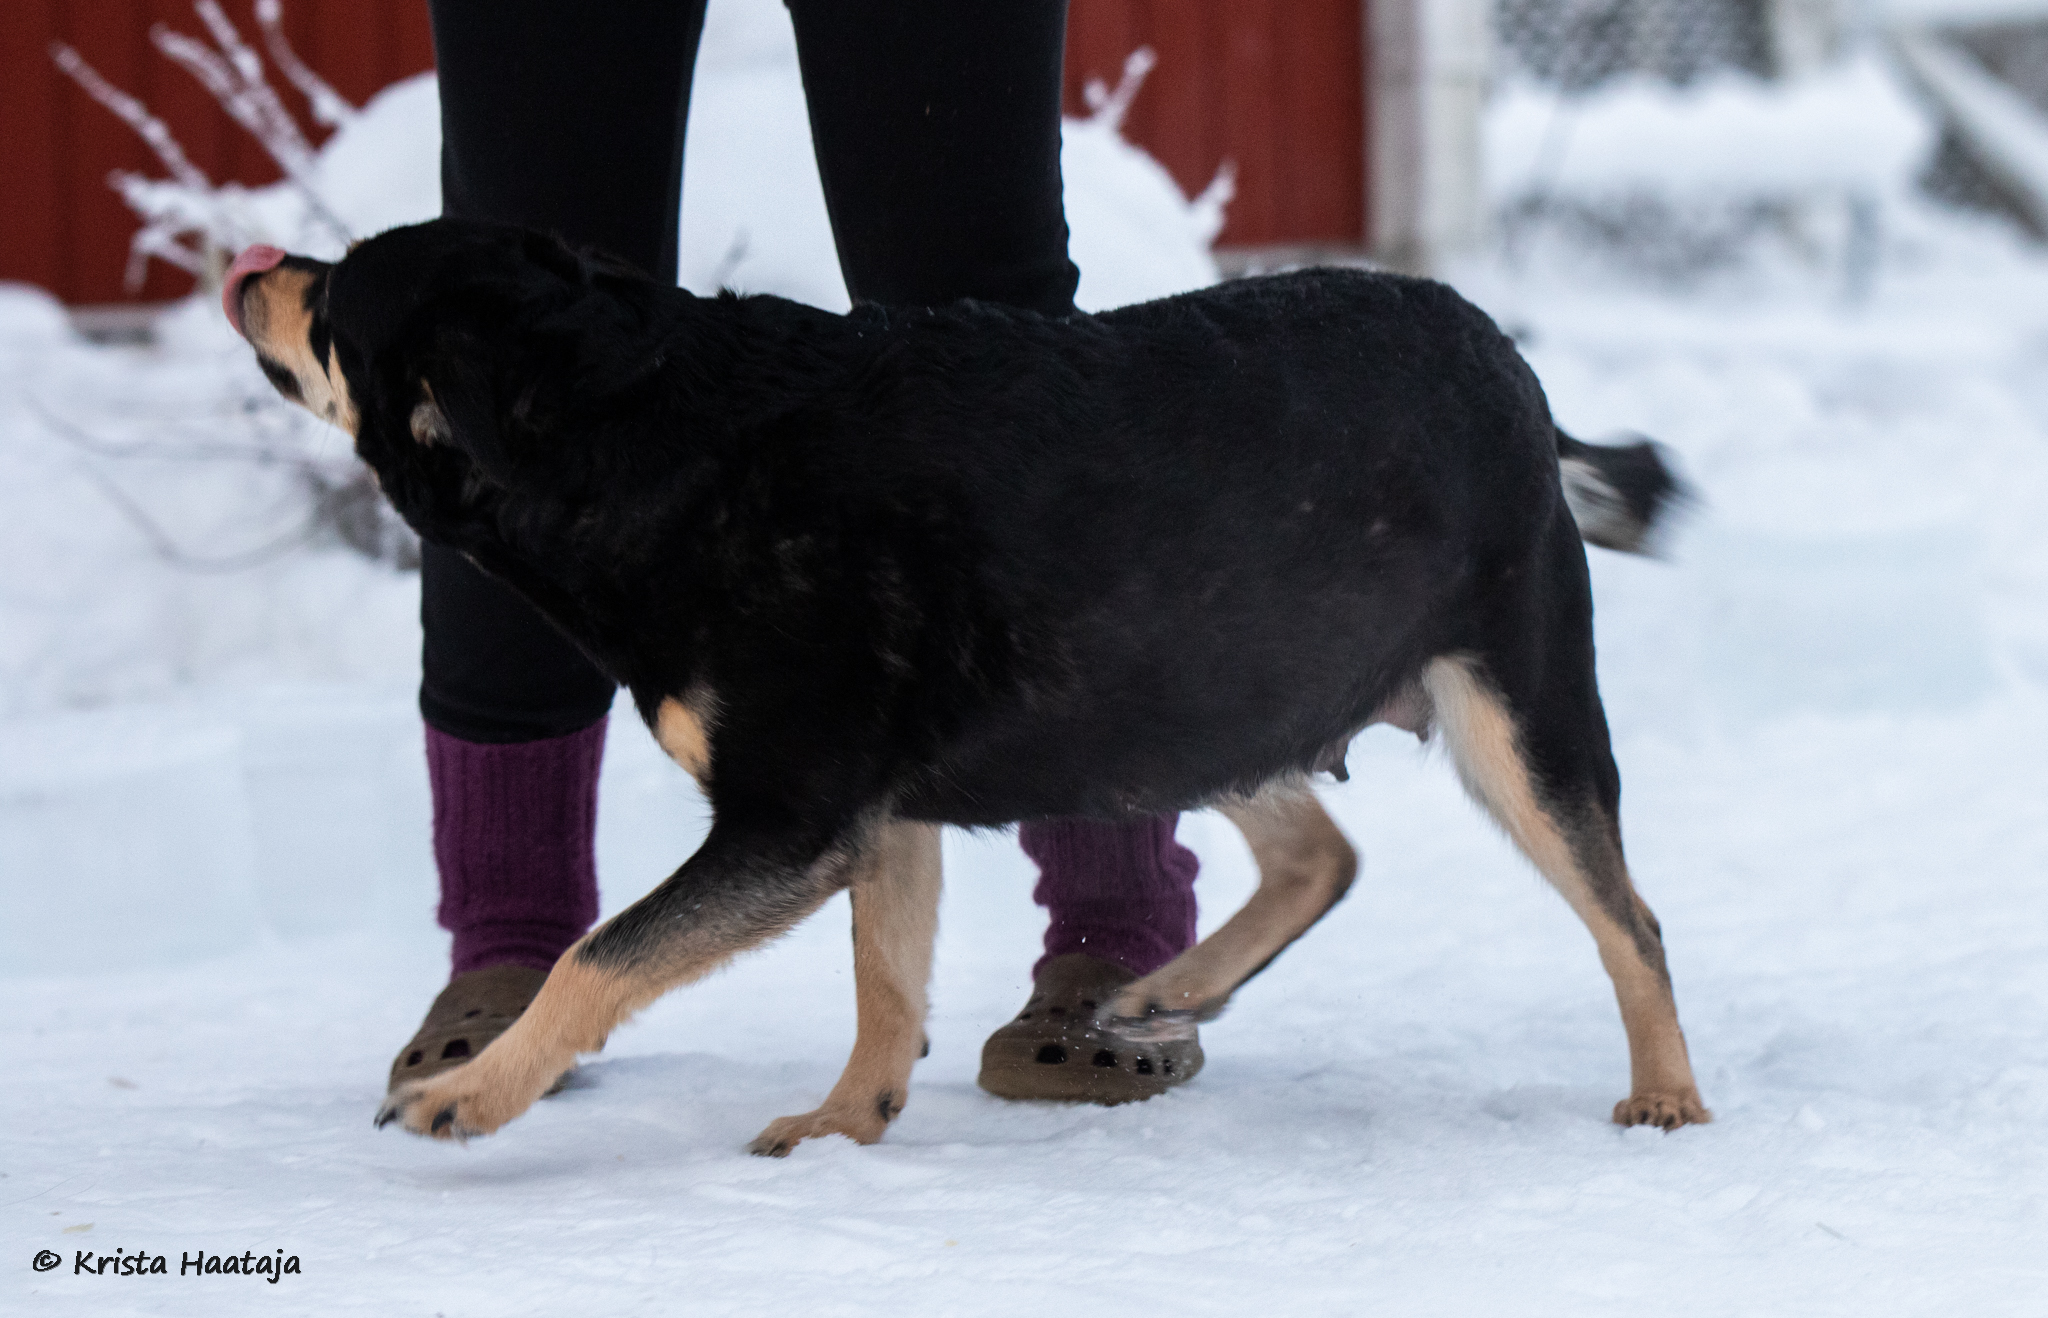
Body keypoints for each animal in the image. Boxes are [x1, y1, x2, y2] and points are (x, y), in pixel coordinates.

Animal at [224, 219, 1708, 1154]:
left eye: (334, 295)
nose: (244, 266)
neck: (633, 429)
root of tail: (1508, 365)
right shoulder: (877, 814)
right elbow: (883, 985)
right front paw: (846, 1123)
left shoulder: (792, 816)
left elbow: (602, 953)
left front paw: (474, 1094)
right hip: (1176, 694)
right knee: (1320, 854)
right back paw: (1162, 990)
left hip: (1508, 712)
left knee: (1631, 920)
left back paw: (1668, 1097)